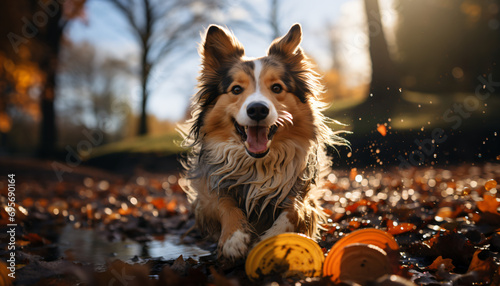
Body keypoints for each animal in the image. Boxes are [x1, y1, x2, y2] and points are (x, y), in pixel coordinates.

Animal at [181, 23, 348, 260]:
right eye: (236, 89)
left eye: (277, 88)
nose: (258, 109)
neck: (258, 165)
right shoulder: (206, 196)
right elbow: (223, 203)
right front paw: (233, 238)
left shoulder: (305, 194)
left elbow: (294, 209)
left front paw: (271, 239)